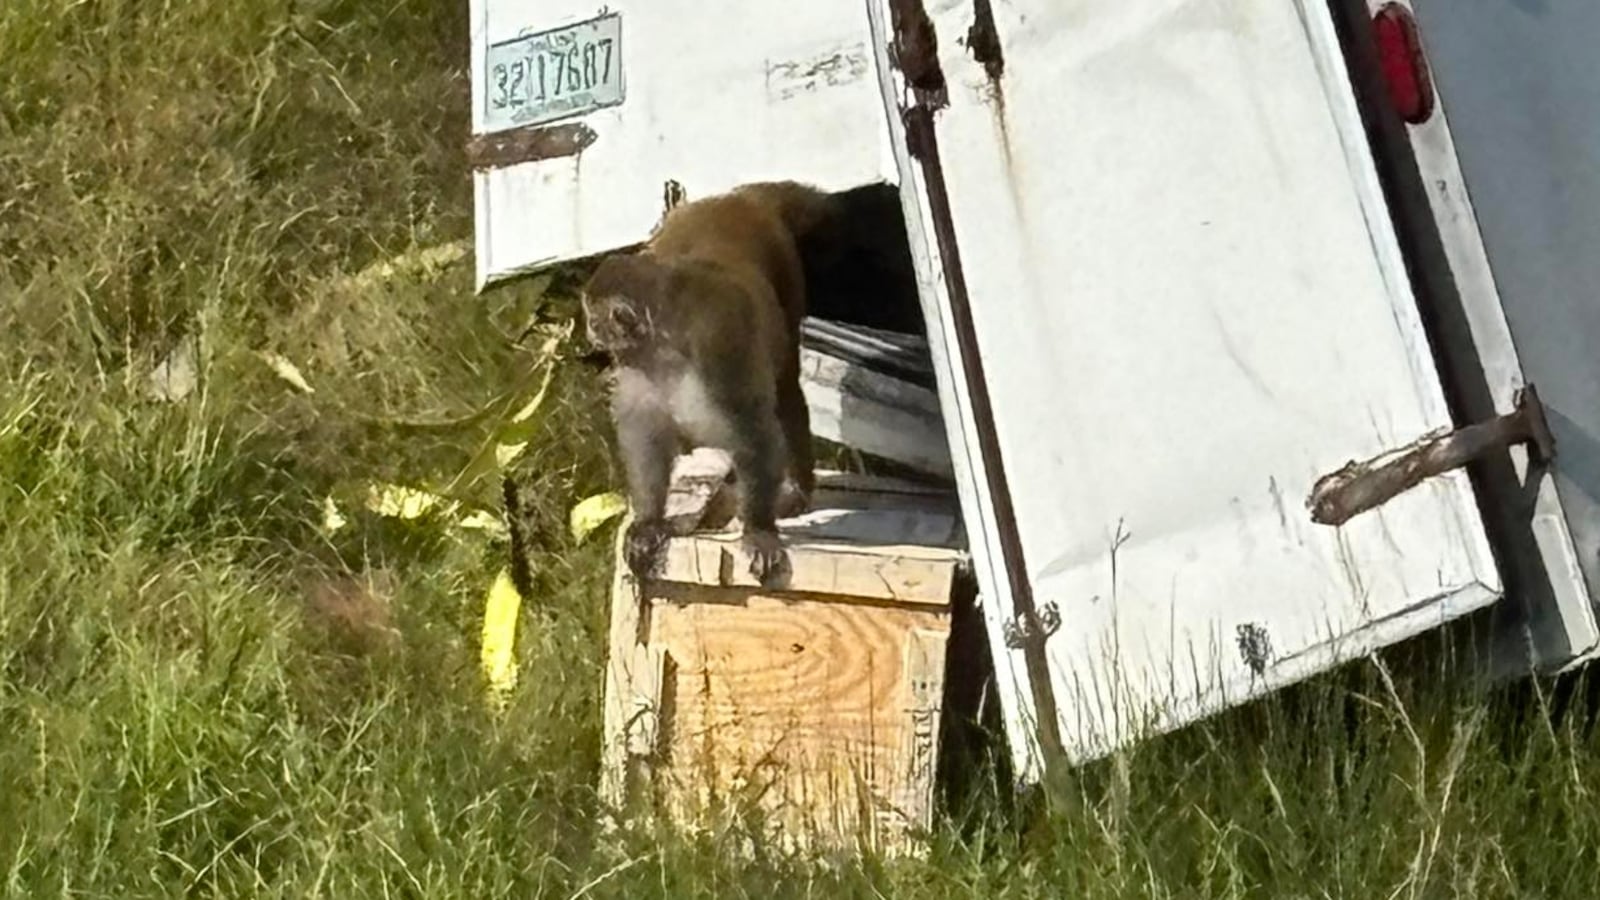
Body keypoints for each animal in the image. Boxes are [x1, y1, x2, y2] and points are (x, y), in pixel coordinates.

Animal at [582, 181, 840, 585]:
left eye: (595, 320)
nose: (589, 332)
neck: (665, 346)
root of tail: (736, 198)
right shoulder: (638, 368)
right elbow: (646, 436)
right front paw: (649, 521)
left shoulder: (718, 347)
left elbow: (753, 429)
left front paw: (759, 529)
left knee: (785, 388)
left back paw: (797, 488)